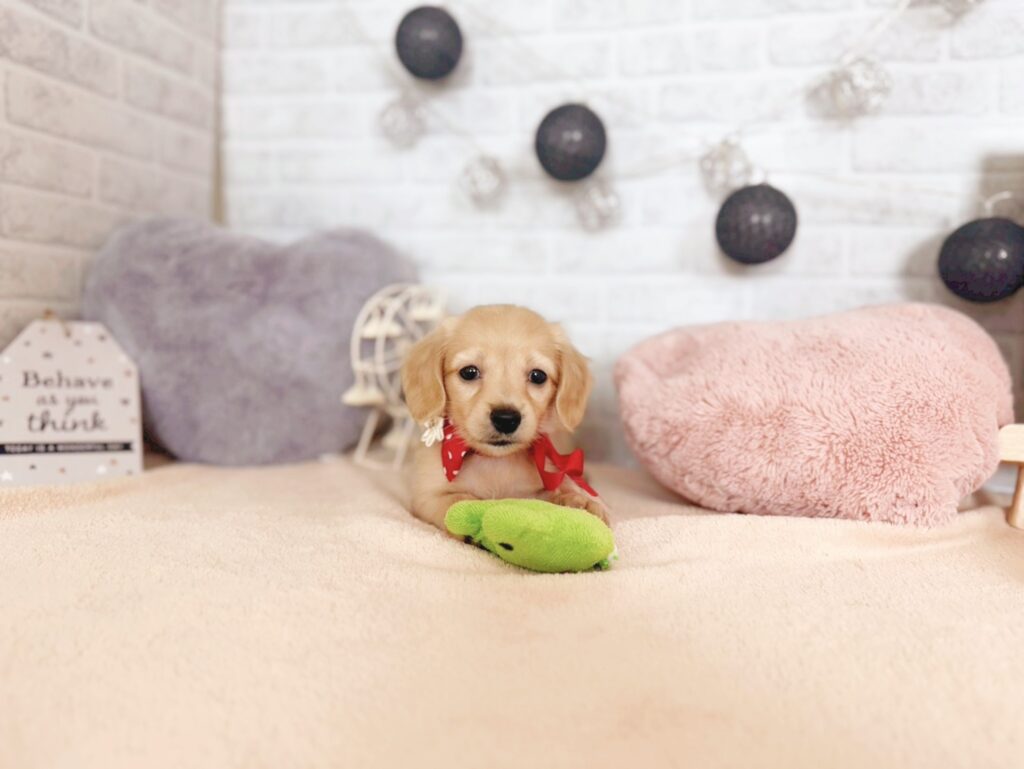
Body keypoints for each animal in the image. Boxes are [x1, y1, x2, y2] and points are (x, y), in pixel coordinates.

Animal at [401, 305, 609, 533]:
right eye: (469, 372)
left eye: (538, 376)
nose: (506, 419)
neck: (496, 463)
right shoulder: (425, 497)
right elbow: (454, 500)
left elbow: (556, 492)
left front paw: (580, 502)